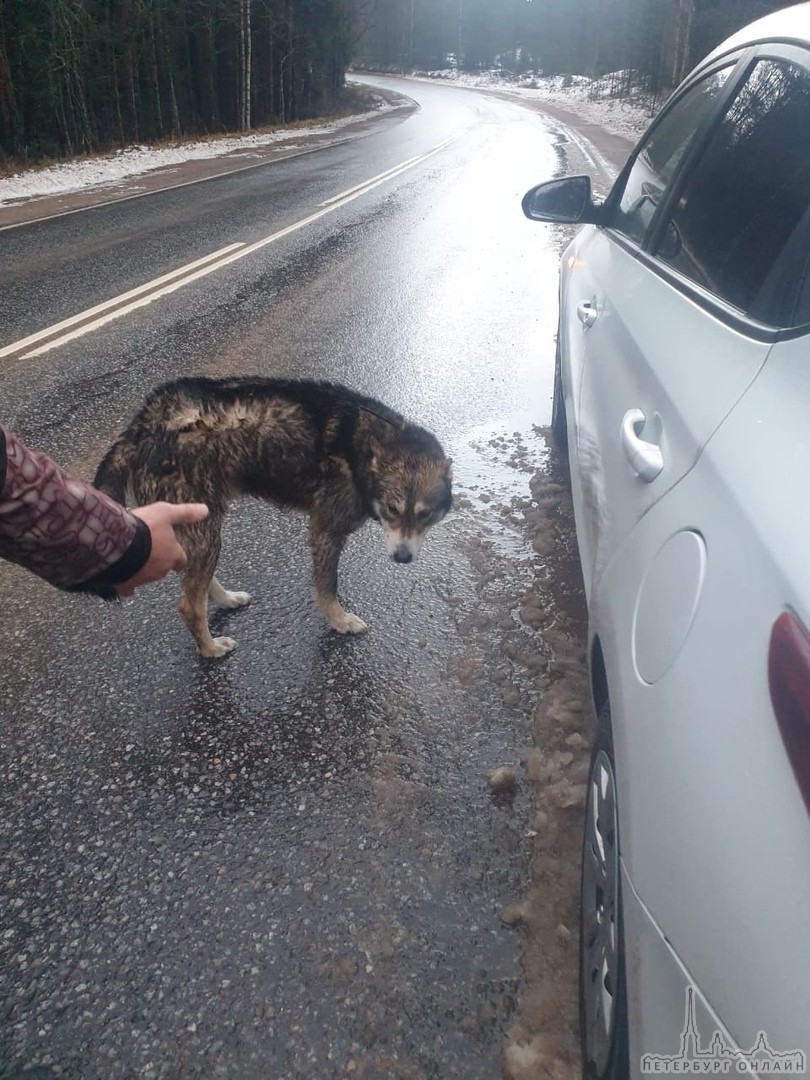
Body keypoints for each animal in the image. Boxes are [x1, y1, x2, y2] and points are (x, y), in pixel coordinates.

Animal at [93, 375, 457, 652]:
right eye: (393, 509)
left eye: (425, 515)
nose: (403, 558)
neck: (365, 447)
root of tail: (143, 422)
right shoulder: (325, 531)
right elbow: (327, 588)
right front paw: (339, 621)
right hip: (206, 533)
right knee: (189, 607)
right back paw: (209, 648)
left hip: (198, 526)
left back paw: (225, 600)